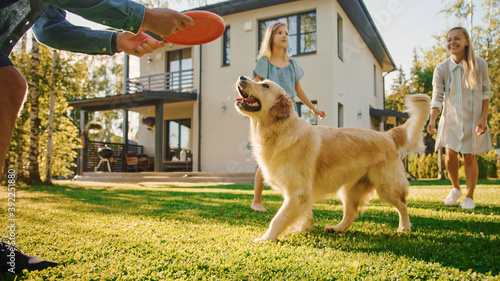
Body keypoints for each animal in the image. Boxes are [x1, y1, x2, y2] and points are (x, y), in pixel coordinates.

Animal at [234, 75, 430, 242]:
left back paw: (404, 227)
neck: (279, 129)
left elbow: (278, 218)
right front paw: (302, 229)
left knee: (402, 204)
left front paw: (266, 238)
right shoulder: (302, 193)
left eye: (265, 85)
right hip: (350, 189)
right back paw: (336, 228)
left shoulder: (297, 191)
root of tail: (387, 135)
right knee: (351, 213)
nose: (242, 77)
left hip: (386, 186)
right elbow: (304, 213)